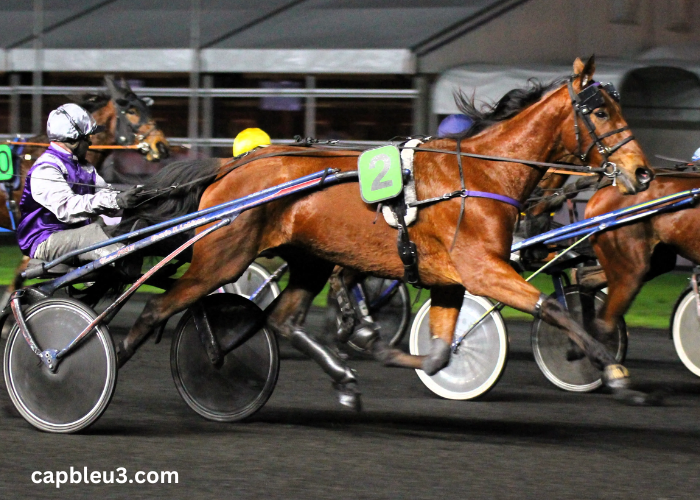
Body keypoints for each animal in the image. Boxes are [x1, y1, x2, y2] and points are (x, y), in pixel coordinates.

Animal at [117, 57, 652, 410]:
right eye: (600, 112)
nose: (642, 173)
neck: (481, 174)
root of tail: (230, 167)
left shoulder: (449, 281)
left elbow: (437, 357)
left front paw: (374, 345)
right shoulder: (483, 270)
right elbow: (554, 310)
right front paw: (612, 368)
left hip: (309, 259)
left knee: (283, 321)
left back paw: (342, 378)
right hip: (222, 257)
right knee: (158, 307)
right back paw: (112, 362)